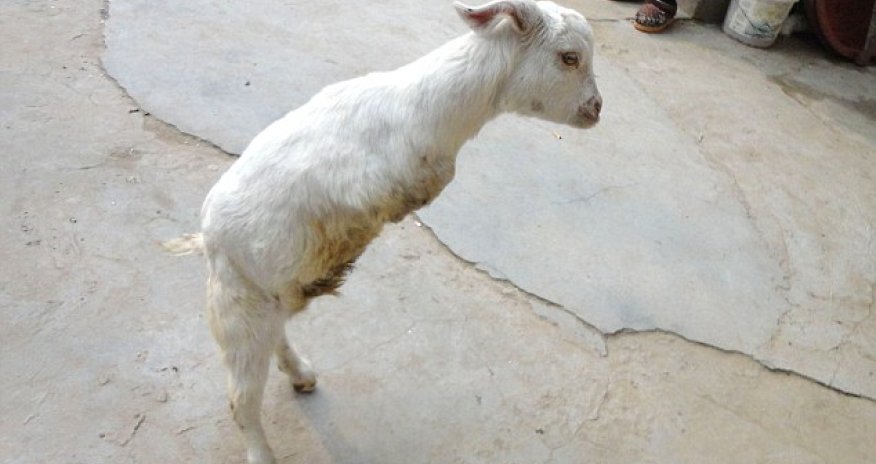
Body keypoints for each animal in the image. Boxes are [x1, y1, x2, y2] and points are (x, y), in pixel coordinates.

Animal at [164, 1, 601, 462]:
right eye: (569, 57)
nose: (596, 108)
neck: (430, 107)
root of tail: (208, 238)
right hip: (237, 306)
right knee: (241, 400)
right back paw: (262, 449)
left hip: (268, 296)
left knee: (275, 336)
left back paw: (300, 371)